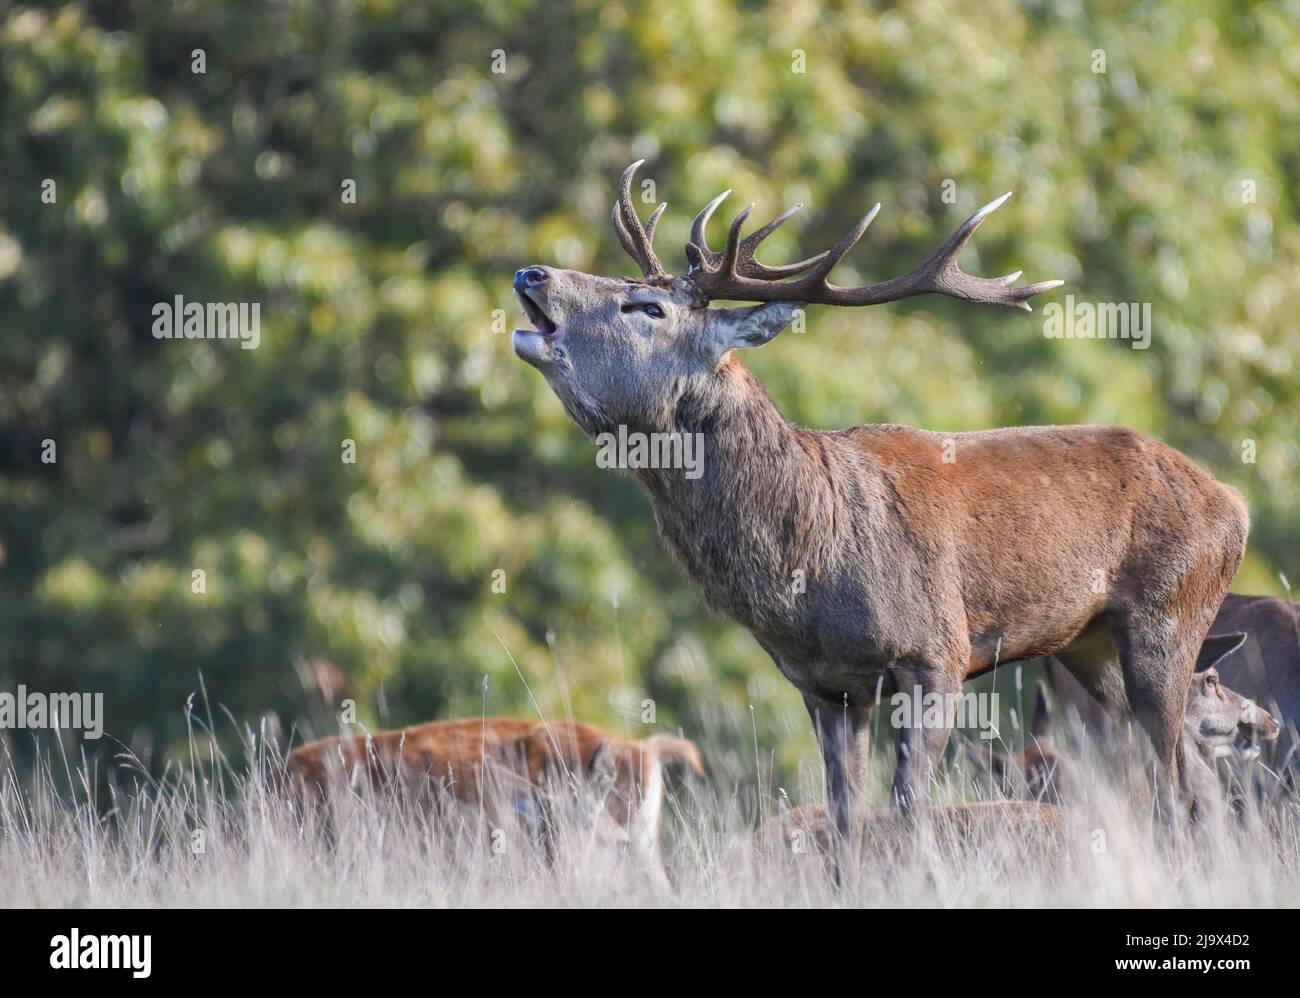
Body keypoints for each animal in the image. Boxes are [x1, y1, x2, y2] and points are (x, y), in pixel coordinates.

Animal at [510, 161, 1249, 858]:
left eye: (646, 307)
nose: (531, 271)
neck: (810, 564)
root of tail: (1234, 503)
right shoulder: (824, 685)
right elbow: (845, 820)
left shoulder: (937, 652)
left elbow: (908, 809)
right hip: (1091, 644)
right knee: (1185, 770)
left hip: (1170, 613)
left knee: (1176, 781)